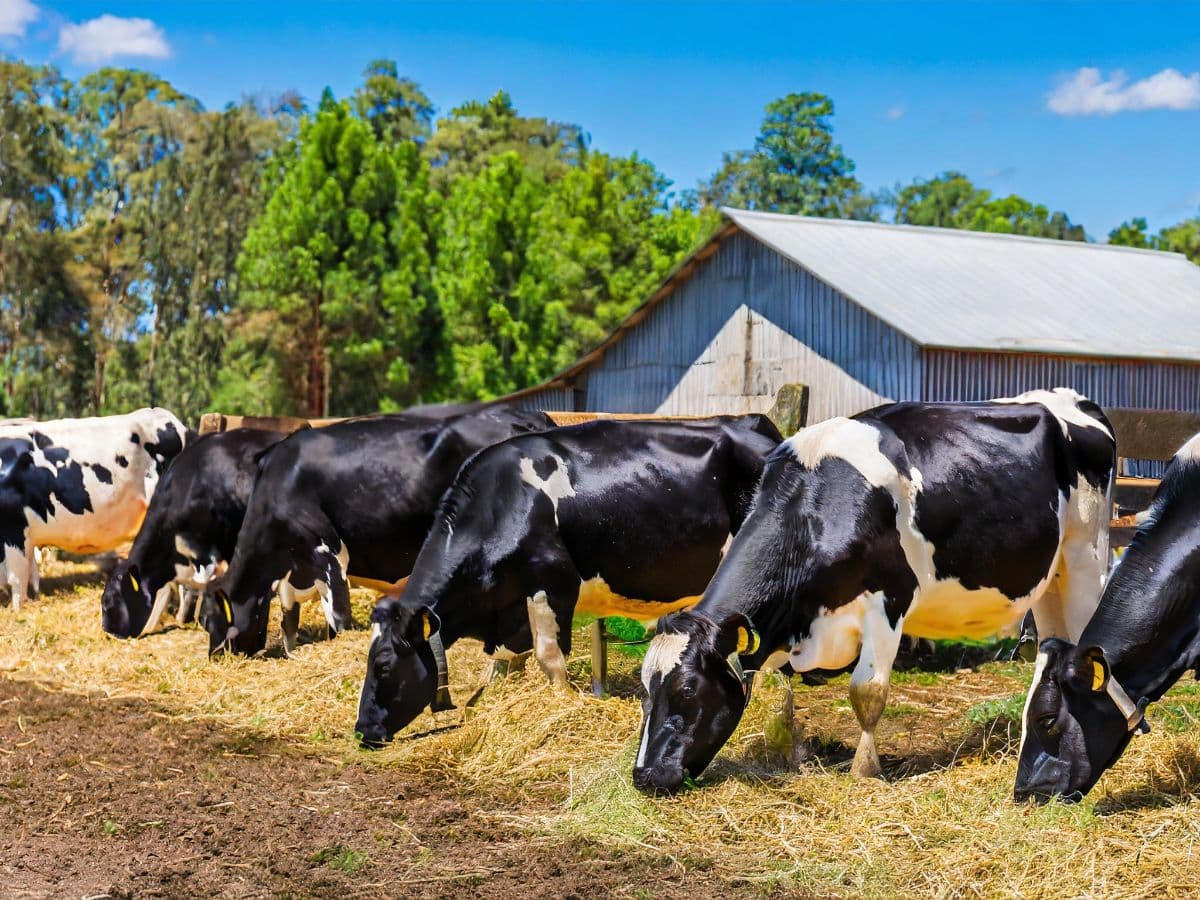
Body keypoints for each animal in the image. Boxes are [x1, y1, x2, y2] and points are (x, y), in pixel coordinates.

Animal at [201, 405, 554, 658]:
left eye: (206, 620)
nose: (215, 656)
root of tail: (523, 415)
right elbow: (290, 618)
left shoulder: (328, 549)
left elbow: (338, 614)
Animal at [354, 414, 783, 748]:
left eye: (384, 665)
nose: (362, 730)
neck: (501, 504)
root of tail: (754, 423)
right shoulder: (511, 608)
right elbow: (504, 661)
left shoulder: (552, 583)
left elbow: (548, 656)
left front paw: (561, 703)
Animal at [633, 389, 1116, 794]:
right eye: (645, 689)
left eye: (688, 691)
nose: (644, 775)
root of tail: (1070, 399)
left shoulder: (889, 601)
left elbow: (867, 691)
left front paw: (864, 771)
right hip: (1051, 576)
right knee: (1052, 644)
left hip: (1086, 556)